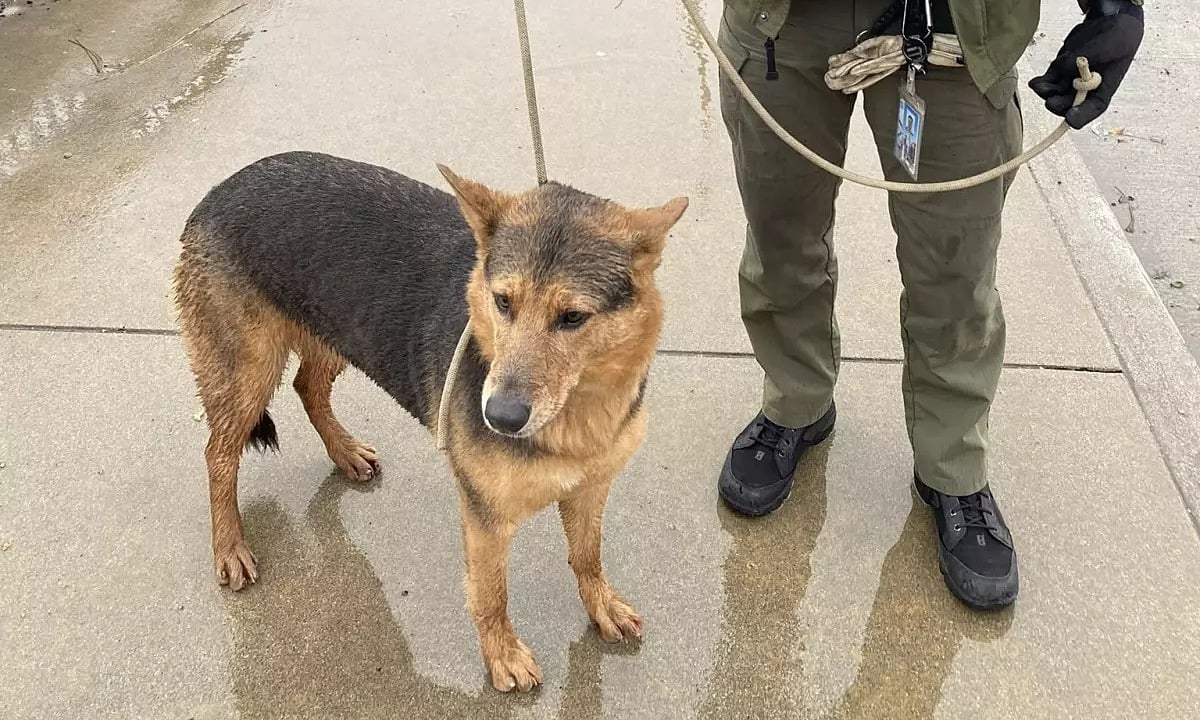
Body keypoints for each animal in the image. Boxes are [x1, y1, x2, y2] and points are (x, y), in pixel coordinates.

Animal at [174, 150, 691, 691]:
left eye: (572, 317)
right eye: (503, 302)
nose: (499, 417)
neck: (575, 414)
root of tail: (219, 190)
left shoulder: (591, 488)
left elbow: (587, 557)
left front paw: (600, 604)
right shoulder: (486, 518)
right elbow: (491, 594)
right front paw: (501, 654)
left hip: (336, 335)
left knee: (307, 388)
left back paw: (344, 452)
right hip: (248, 371)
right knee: (218, 453)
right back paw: (229, 544)